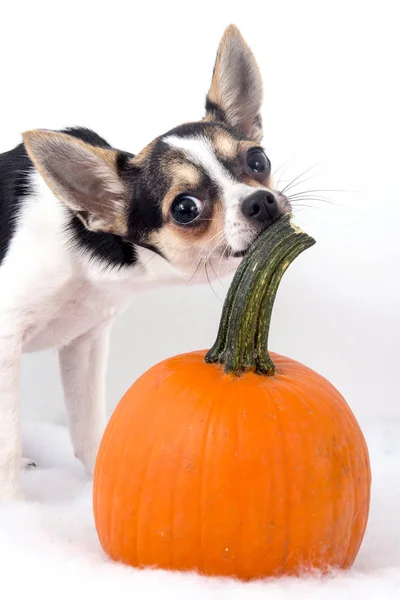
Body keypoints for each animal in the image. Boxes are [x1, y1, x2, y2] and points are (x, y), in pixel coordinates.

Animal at [0, 24, 290, 502]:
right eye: (186, 208)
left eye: (258, 160)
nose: (261, 200)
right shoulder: (5, 344)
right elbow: (7, 443)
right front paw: (19, 511)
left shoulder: (85, 343)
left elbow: (87, 425)